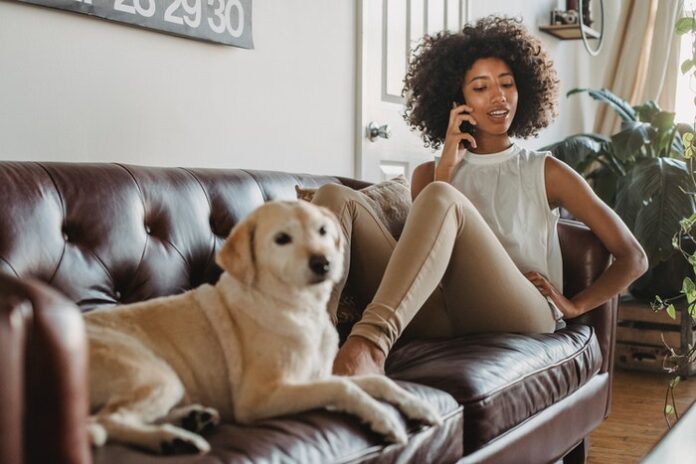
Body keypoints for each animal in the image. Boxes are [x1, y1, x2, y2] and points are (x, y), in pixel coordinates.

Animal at [84, 198, 438, 454]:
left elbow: (378, 382)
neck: (300, 309)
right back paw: (171, 439)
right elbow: (346, 388)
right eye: (282, 239)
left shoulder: (318, 376)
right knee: (106, 419)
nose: (324, 262)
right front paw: (383, 418)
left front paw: (417, 405)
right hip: (158, 374)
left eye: (323, 231)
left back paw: (190, 420)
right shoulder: (262, 396)